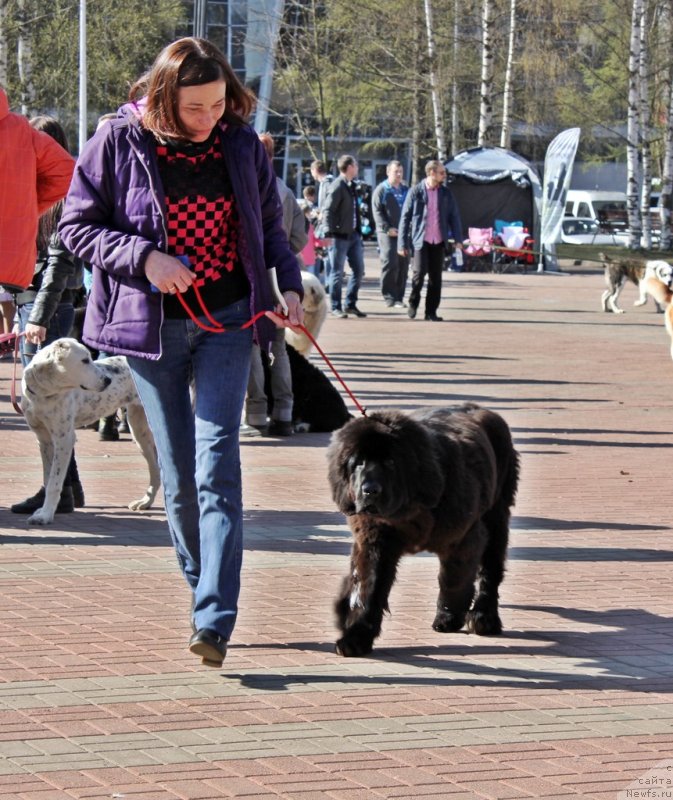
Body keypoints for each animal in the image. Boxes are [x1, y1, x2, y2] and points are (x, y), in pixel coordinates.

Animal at [21, 338, 160, 524]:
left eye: (90, 358)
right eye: (85, 360)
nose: (108, 380)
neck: (44, 393)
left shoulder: (64, 440)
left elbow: (54, 483)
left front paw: (46, 515)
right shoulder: (44, 440)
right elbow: (48, 477)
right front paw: (44, 510)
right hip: (139, 430)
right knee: (156, 469)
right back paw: (145, 502)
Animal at [326, 404, 520, 660]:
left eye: (390, 462)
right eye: (357, 463)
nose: (370, 490)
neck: (408, 507)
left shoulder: (463, 536)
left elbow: (453, 579)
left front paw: (449, 615)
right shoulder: (374, 541)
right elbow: (368, 587)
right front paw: (356, 637)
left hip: (497, 515)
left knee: (490, 569)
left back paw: (484, 617)